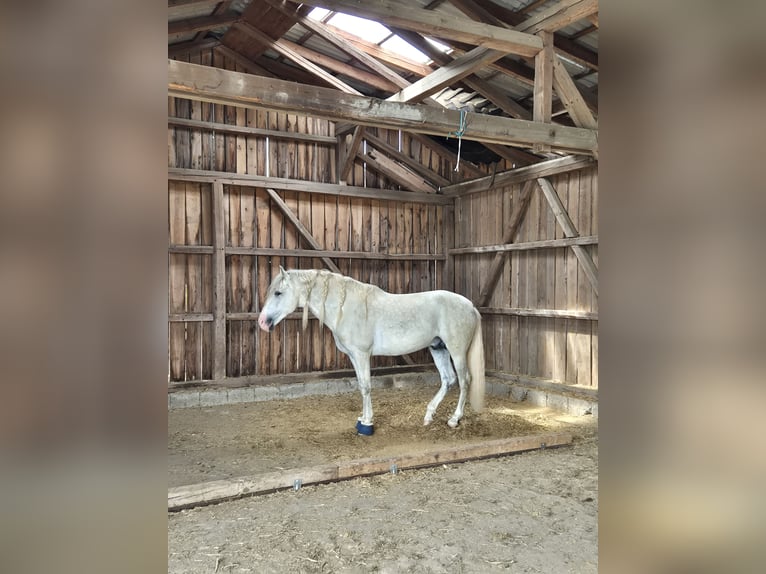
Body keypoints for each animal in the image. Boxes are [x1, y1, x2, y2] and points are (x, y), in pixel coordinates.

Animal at [257, 267, 485, 434]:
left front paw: (367, 424)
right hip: (438, 348)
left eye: (278, 293)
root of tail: (471, 306)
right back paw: (428, 415)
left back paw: (454, 419)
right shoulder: (353, 356)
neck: (346, 307)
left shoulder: (362, 354)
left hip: (456, 352)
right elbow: (360, 385)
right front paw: (362, 418)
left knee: (464, 380)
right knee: (448, 379)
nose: (262, 322)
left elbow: (366, 387)